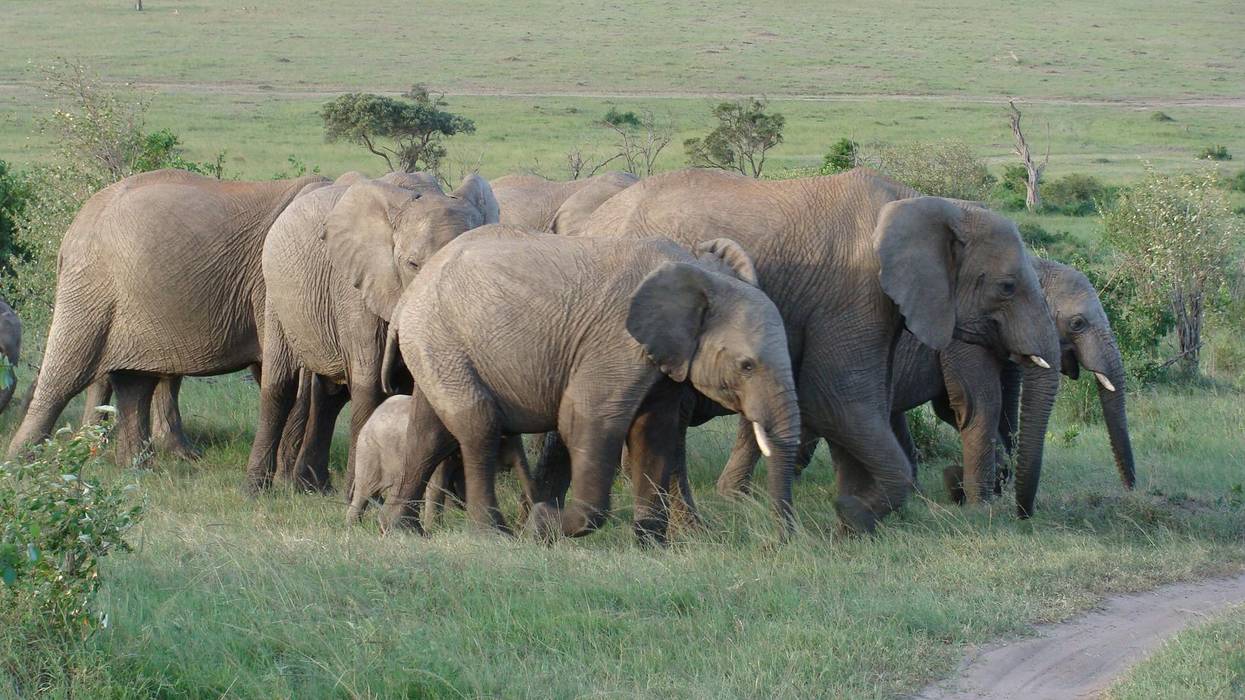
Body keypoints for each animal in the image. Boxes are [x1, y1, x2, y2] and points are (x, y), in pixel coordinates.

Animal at [7, 169, 329, 467]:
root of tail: (77, 223)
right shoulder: (274, 287)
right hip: (92, 286)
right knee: (66, 373)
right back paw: (22, 463)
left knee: (133, 380)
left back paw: (137, 465)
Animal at [243, 173, 499, 494]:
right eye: (412, 264)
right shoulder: (357, 294)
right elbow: (370, 386)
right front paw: (360, 494)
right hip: (275, 294)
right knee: (280, 385)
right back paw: (255, 490)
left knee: (327, 396)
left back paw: (312, 487)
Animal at [381, 226, 800, 543]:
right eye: (747, 366)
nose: (778, 541)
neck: (699, 272)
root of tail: (407, 298)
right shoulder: (616, 342)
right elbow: (587, 420)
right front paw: (542, 525)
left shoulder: (664, 359)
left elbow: (654, 433)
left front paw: (652, 546)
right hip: (441, 338)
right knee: (478, 426)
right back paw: (492, 535)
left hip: (437, 346)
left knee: (429, 434)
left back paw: (401, 530)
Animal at [563, 167, 1061, 531]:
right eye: (1007, 287)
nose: (1022, 516)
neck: (928, 204)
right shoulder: (852, 292)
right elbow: (839, 400)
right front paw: (855, 515)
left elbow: (864, 405)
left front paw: (856, 511)